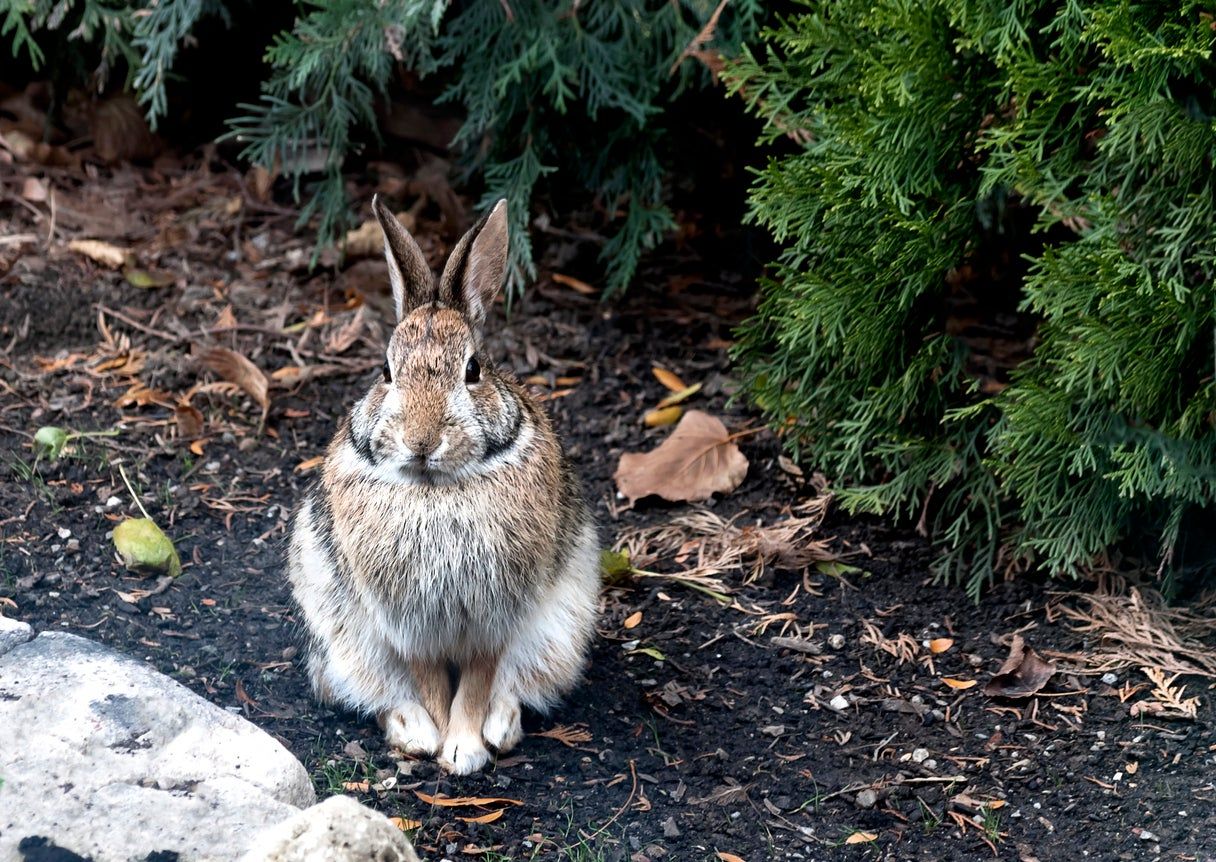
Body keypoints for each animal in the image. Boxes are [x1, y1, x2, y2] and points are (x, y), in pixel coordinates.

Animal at [289, 196, 603, 773]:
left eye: (473, 369)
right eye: (385, 371)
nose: (421, 439)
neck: (436, 486)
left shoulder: (492, 619)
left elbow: (478, 680)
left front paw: (464, 751)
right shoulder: (410, 626)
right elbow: (429, 680)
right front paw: (438, 740)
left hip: (560, 632)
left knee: (518, 684)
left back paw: (500, 727)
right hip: (342, 639)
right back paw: (412, 731)